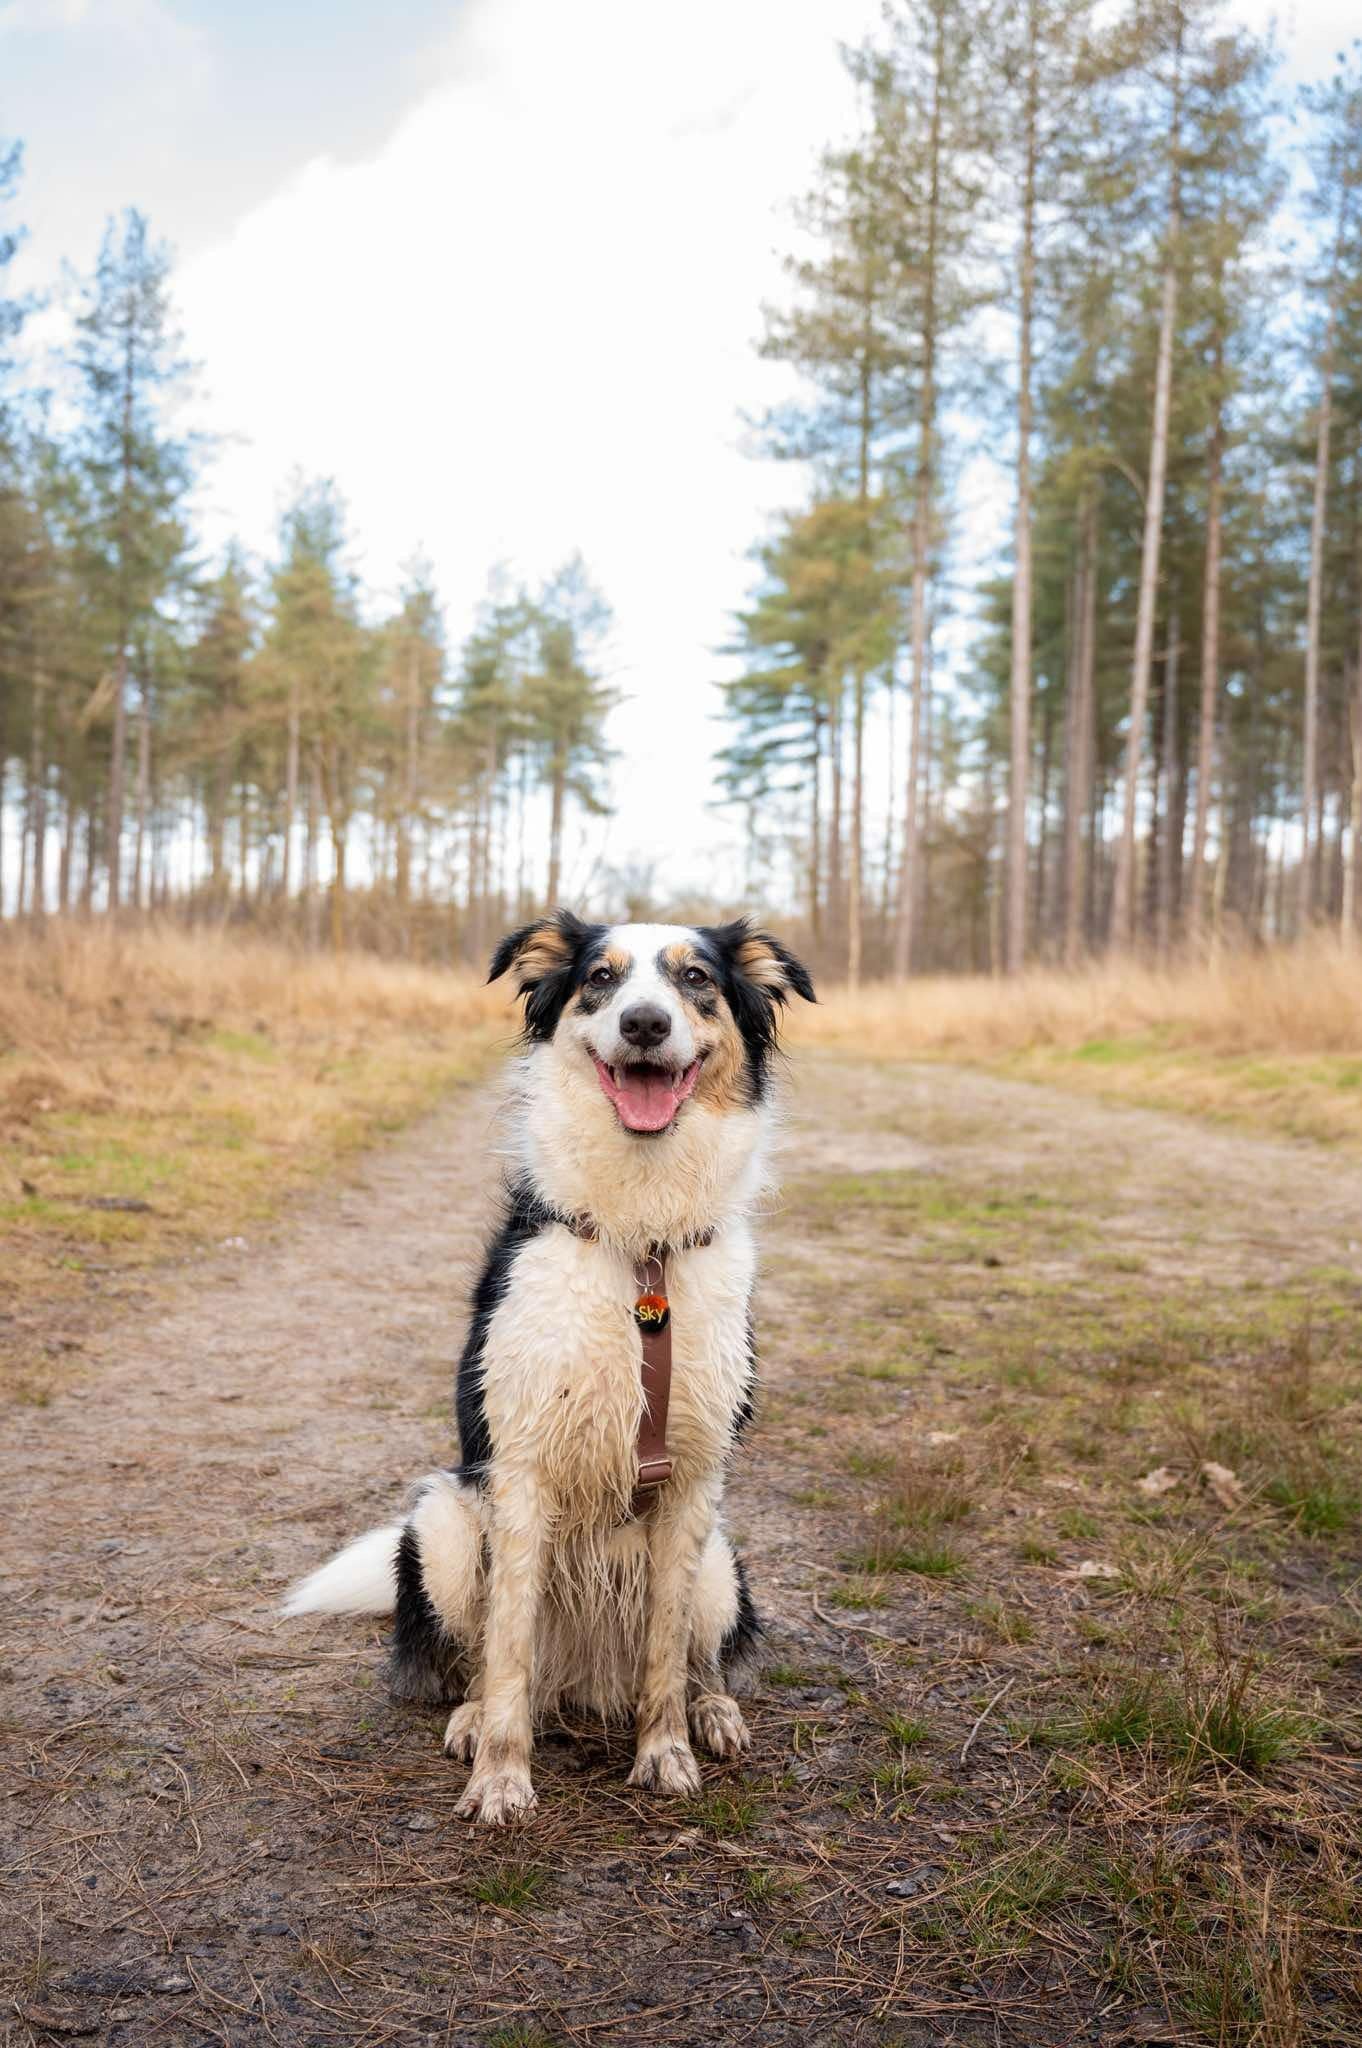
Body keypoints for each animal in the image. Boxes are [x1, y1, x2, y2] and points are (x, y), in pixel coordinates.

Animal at [278, 913, 806, 1826]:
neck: (640, 1248)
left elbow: (666, 1650)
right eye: (600, 978)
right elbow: (508, 1647)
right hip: (444, 1526)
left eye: (696, 978)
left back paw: (712, 1710)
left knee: (697, 1656)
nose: (644, 1024)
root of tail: (586, 1682)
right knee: (477, 1657)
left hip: (719, 1562)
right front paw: (500, 1777)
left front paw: (664, 1751)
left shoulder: (694, 1481)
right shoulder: (519, 1469)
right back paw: (469, 1716)